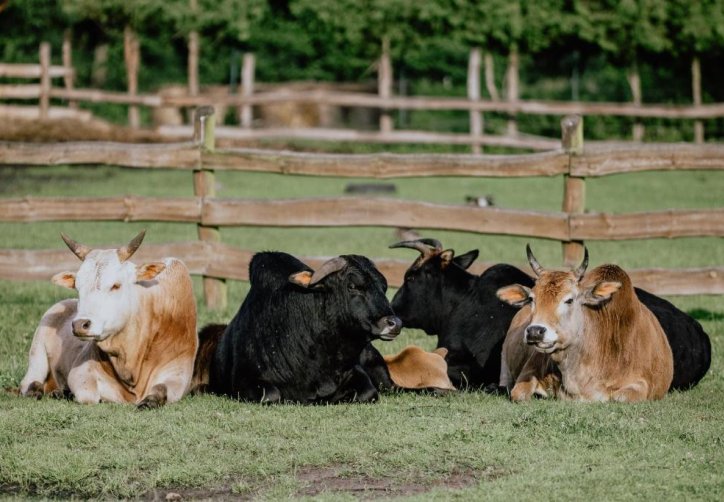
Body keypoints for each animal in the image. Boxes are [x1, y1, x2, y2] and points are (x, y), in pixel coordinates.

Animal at [19, 231, 197, 409]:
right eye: (78, 287)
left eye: (116, 285)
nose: (80, 325)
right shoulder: (80, 372)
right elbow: (89, 396)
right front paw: (70, 393)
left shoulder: (179, 375)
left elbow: (161, 388)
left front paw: (149, 401)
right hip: (37, 355)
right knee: (29, 382)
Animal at [201, 251, 403, 404]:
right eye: (353, 286)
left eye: (384, 287)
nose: (395, 323)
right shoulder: (246, 380)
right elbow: (271, 395)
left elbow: (367, 392)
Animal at [497, 246, 674, 402]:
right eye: (532, 299)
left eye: (569, 300)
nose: (535, 331)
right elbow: (519, 394)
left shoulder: (641, 383)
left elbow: (620, 397)